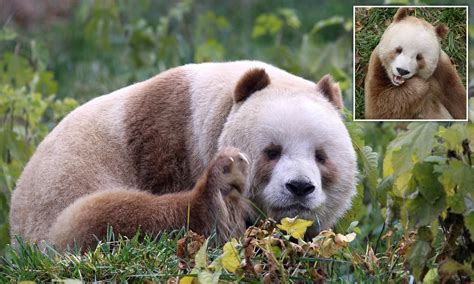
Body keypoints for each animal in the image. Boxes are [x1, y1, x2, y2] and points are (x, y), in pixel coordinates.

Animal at [9, 60, 358, 248]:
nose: (299, 187)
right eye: (272, 151)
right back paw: (218, 198)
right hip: (58, 204)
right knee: (101, 219)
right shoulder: (168, 137)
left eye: (321, 156)